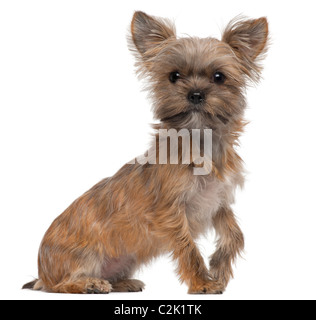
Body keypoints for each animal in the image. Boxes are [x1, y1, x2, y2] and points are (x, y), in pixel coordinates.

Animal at [23, 11, 268, 294]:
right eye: (174, 76)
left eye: (219, 77)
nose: (195, 94)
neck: (201, 140)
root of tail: (42, 271)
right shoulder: (171, 213)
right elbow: (188, 248)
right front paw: (202, 283)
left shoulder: (218, 203)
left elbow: (236, 235)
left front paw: (218, 266)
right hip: (83, 257)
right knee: (60, 285)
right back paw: (90, 284)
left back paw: (122, 282)